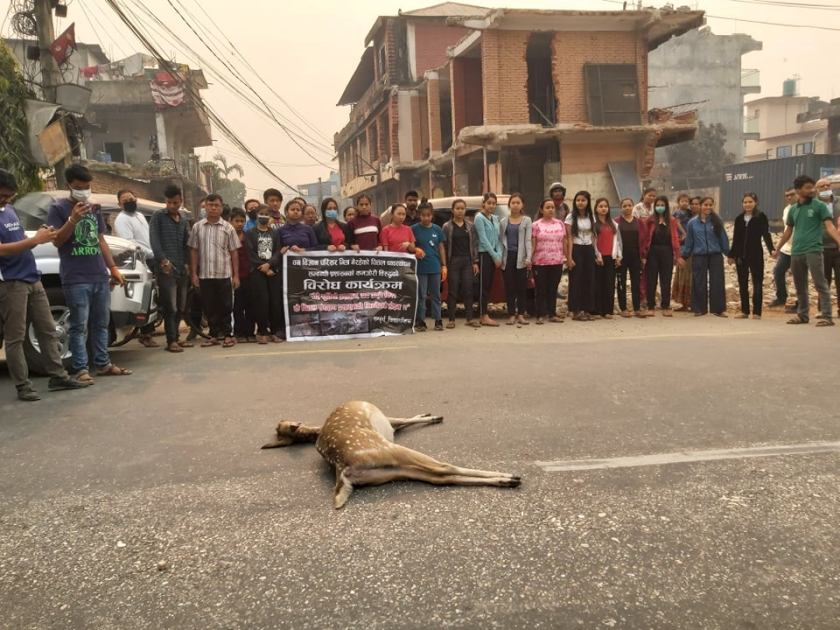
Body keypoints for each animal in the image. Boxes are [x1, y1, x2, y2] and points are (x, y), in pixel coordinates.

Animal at [262, 402, 520, 512]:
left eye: (279, 425)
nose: (287, 419)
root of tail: (342, 467)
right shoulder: (389, 422)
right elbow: (403, 419)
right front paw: (432, 415)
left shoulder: (391, 427)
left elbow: (404, 422)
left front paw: (427, 414)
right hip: (389, 449)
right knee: (443, 467)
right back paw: (510, 477)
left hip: (388, 471)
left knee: (438, 478)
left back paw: (506, 480)